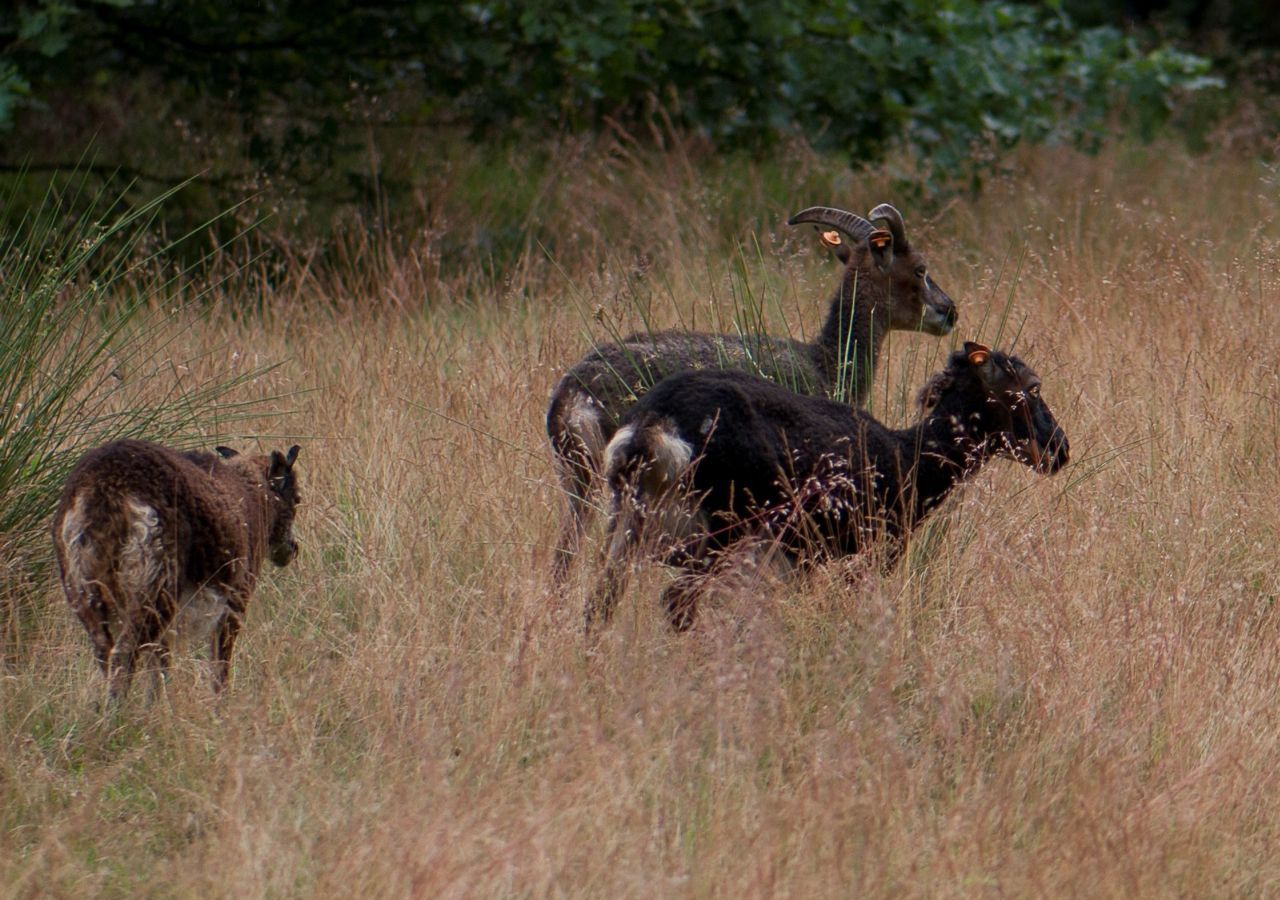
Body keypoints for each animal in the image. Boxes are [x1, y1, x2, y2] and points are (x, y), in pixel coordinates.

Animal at [52, 440, 302, 701]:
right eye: (297, 499)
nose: (293, 549)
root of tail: (103, 489)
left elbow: (160, 667)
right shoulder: (235, 598)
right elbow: (219, 667)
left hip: (82, 585)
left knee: (105, 651)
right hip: (155, 581)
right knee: (125, 652)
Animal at [586, 343, 1064, 634]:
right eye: (1031, 388)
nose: (1060, 450)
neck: (910, 460)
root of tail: (654, 423)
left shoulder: (805, 560)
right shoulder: (865, 554)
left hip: (627, 524)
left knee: (599, 604)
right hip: (722, 528)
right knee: (676, 602)